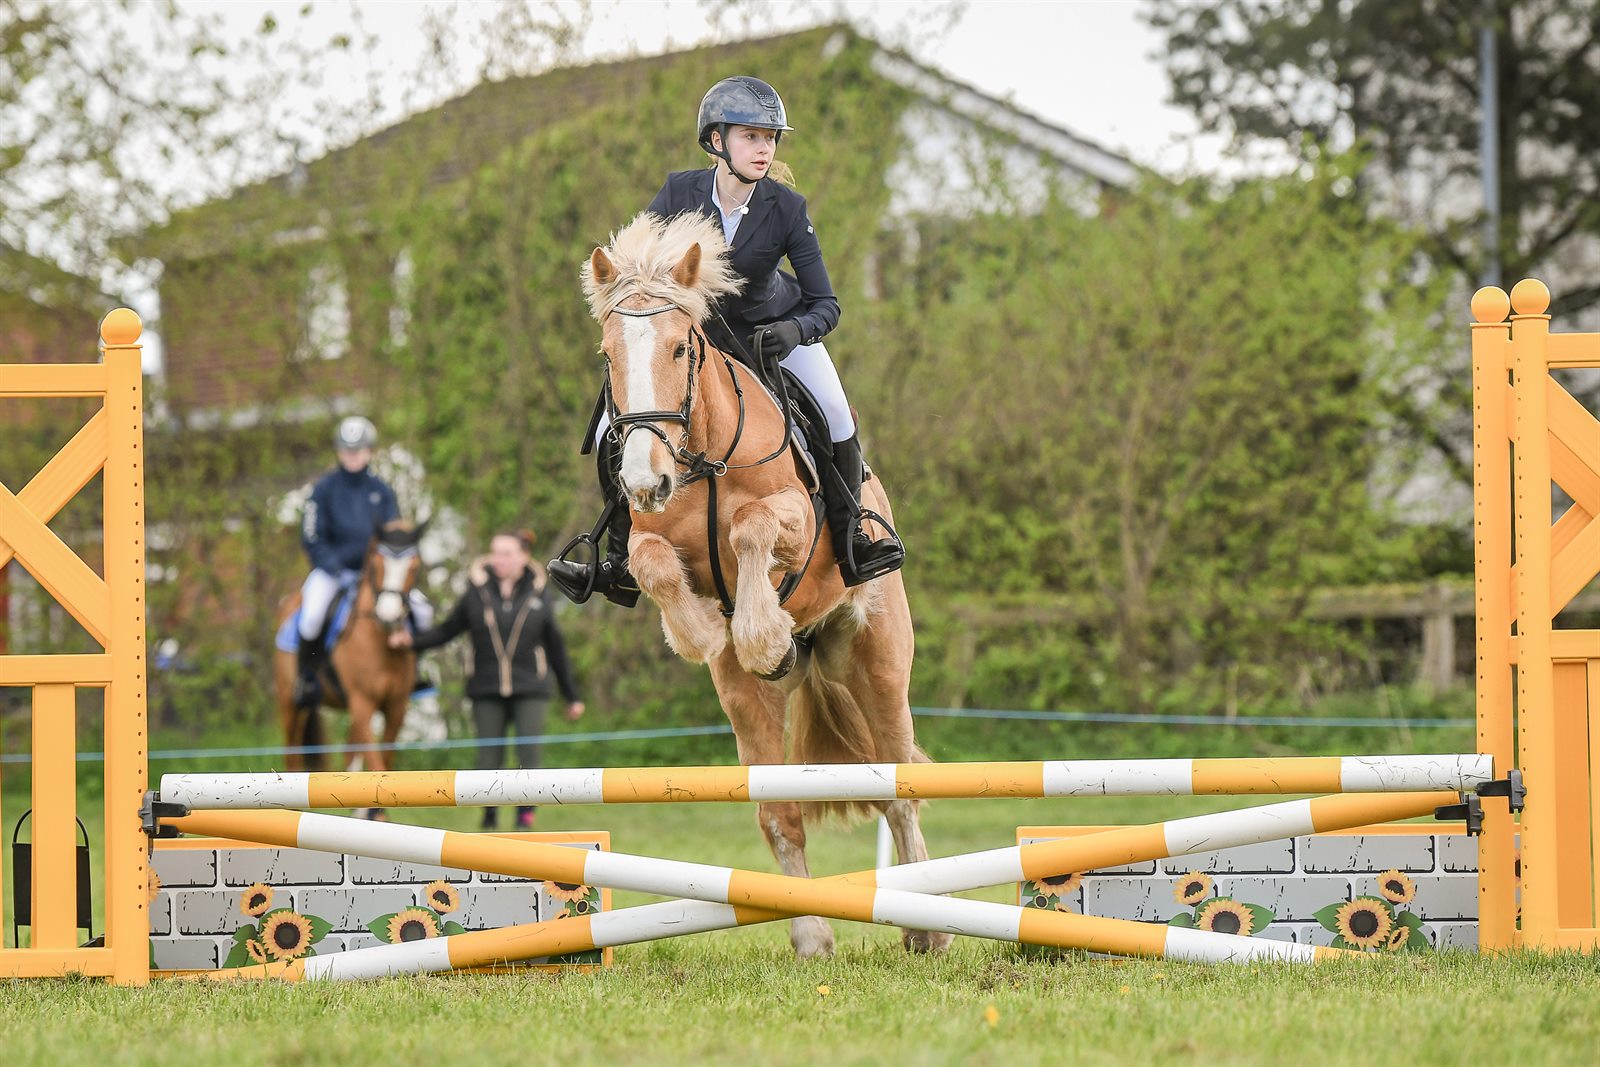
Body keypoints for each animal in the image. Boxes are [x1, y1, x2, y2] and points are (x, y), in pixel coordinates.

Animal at [273, 520, 426, 780]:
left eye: (414, 566)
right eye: (376, 564)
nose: (388, 616)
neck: (378, 642)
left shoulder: (396, 707)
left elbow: (384, 761)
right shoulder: (362, 703)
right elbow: (376, 764)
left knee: (348, 754)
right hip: (290, 704)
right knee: (291, 757)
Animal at [579, 212, 948, 958]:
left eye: (681, 348)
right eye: (609, 355)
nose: (644, 480)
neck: (700, 456)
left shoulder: (797, 524)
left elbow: (751, 526)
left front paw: (758, 634)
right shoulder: (647, 540)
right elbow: (655, 564)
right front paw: (703, 630)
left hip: (878, 658)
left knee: (898, 786)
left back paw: (925, 928)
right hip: (748, 702)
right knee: (780, 814)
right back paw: (810, 935)